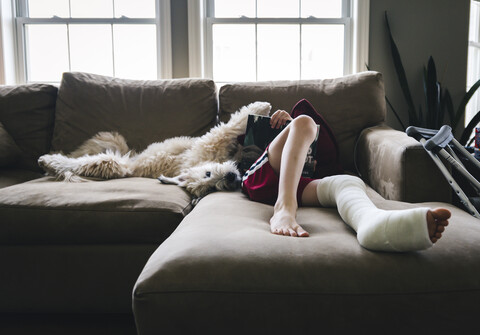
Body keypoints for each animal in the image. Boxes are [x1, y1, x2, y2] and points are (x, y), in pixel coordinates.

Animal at [38, 101, 270, 198]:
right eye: (210, 185)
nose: (231, 179)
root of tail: (131, 164)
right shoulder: (210, 143)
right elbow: (227, 128)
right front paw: (260, 107)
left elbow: (234, 127)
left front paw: (261, 107)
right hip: (111, 161)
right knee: (78, 163)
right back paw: (48, 161)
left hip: (111, 140)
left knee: (79, 154)